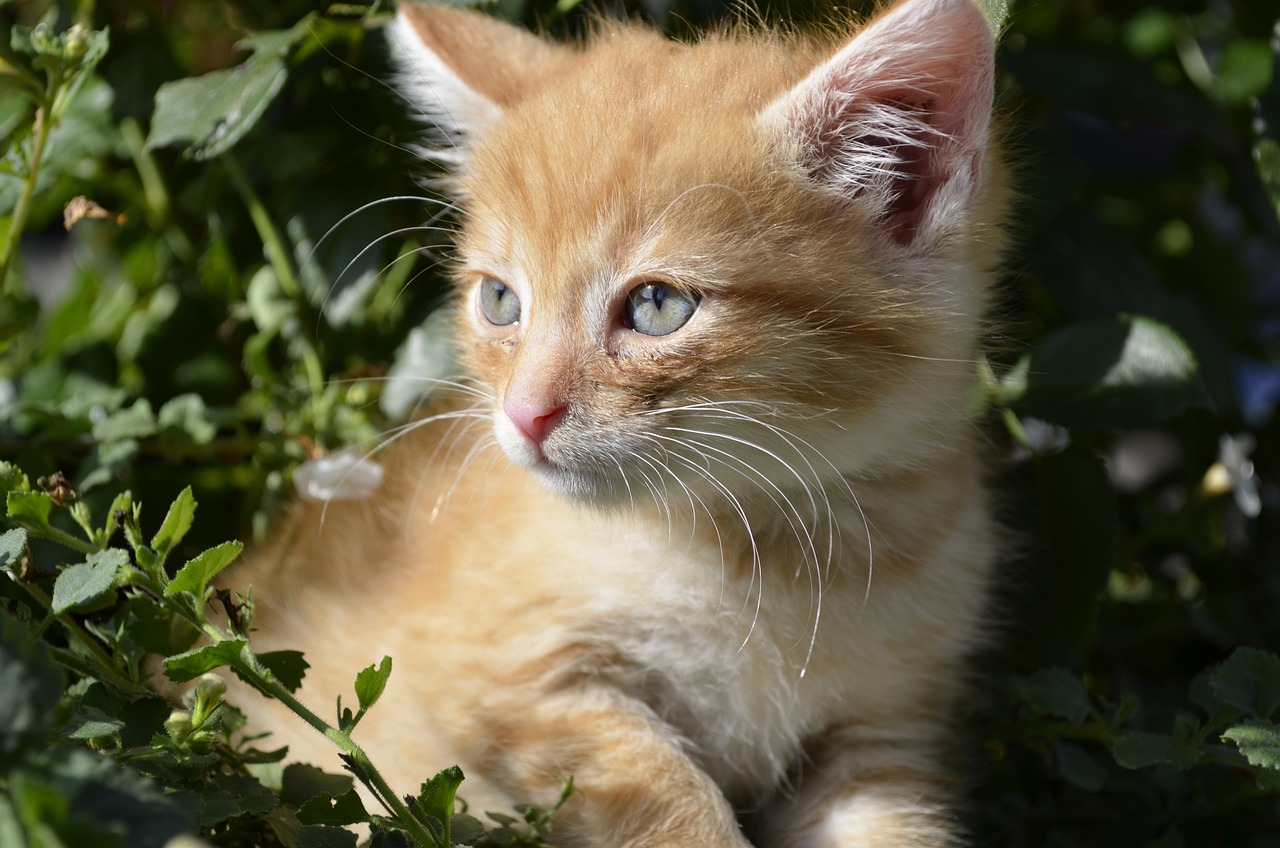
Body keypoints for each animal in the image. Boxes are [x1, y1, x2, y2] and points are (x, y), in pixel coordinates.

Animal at [230, 0, 1008, 845]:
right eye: (500, 301)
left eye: (657, 306)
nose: (525, 412)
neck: (770, 555)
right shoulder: (503, 681)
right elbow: (669, 804)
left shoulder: (883, 732)